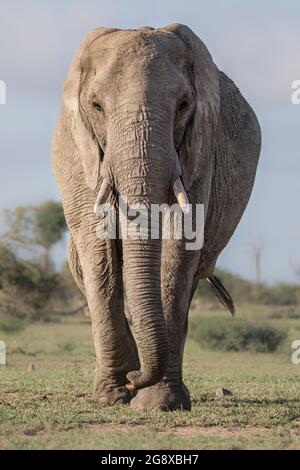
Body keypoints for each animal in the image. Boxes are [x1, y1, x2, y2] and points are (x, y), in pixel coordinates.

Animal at [52, 23, 262, 410]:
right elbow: (97, 247)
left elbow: (180, 246)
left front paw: (157, 402)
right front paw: (113, 395)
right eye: (96, 106)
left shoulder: (201, 150)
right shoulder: (76, 151)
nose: (135, 379)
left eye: (183, 105)